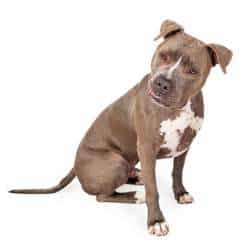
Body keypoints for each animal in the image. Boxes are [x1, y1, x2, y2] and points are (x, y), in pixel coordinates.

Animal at [9, 19, 232, 236]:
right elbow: (153, 190)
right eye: (163, 55)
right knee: (102, 195)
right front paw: (156, 221)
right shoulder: (146, 147)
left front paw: (181, 193)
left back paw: (138, 177)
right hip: (115, 162)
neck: (177, 108)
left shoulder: (184, 144)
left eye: (193, 70)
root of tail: (75, 167)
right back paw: (136, 194)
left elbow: (177, 172)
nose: (162, 82)